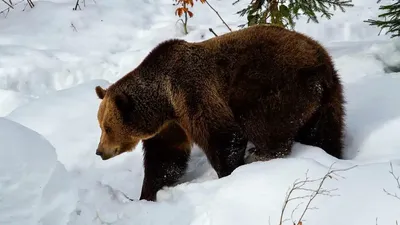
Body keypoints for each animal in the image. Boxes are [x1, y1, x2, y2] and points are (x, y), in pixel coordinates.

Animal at [94, 24, 344, 202]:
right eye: (101, 126)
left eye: (107, 127)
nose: (99, 151)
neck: (165, 102)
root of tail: (319, 63)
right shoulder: (171, 126)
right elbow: (165, 159)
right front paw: (147, 194)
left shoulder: (193, 94)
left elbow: (223, 136)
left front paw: (228, 173)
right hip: (328, 99)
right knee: (325, 134)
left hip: (270, 86)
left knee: (262, 124)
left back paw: (260, 155)